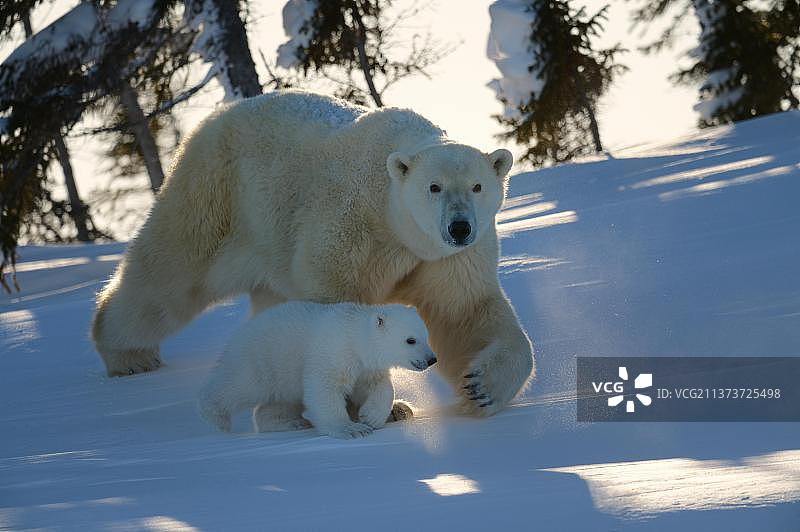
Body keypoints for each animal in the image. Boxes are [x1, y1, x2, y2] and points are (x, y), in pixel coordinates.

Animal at [91, 89, 534, 416]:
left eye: (477, 186)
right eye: (434, 187)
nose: (459, 227)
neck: (390, 215)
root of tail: (215, 118)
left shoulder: (441, 257)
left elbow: (464, 311)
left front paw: (481, 387)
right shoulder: (349, 228)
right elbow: (336, 318)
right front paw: (381, 407)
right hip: (217, 197)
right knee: (170, 275)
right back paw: (128, 354)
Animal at [198, 301, 437, 438]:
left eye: (426, 336)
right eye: (410, 340)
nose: (431, 359)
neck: (354, 337)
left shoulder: (366, 367)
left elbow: (380, 386)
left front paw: (371, 417)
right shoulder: (334, 352)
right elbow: (324, 388)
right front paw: (352, 429)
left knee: (277, 404)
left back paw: (293, 422)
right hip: (265, 358)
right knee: (238, 385)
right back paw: (215, 420)